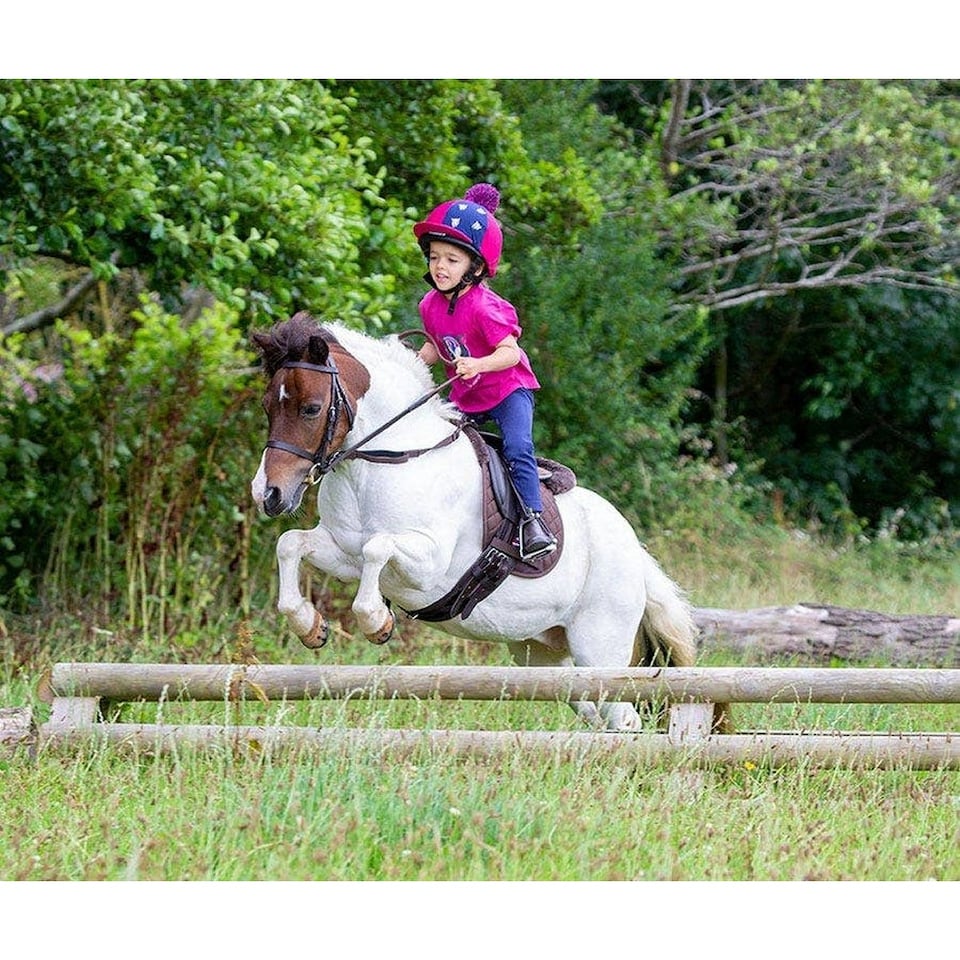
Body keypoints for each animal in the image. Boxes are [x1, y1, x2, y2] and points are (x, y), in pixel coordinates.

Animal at [250, 311, 728, 732]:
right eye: (267, 407)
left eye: (311, 409)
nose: (268, 494)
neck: (386, 458)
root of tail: (636, 553)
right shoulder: (341, 551)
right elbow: (292, 544)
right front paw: (309, 626)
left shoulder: (427, 564)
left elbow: (377, 548)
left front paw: (377, 623)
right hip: (544, 653)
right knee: (594, 710)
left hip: (600, 646)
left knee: (622, 715)